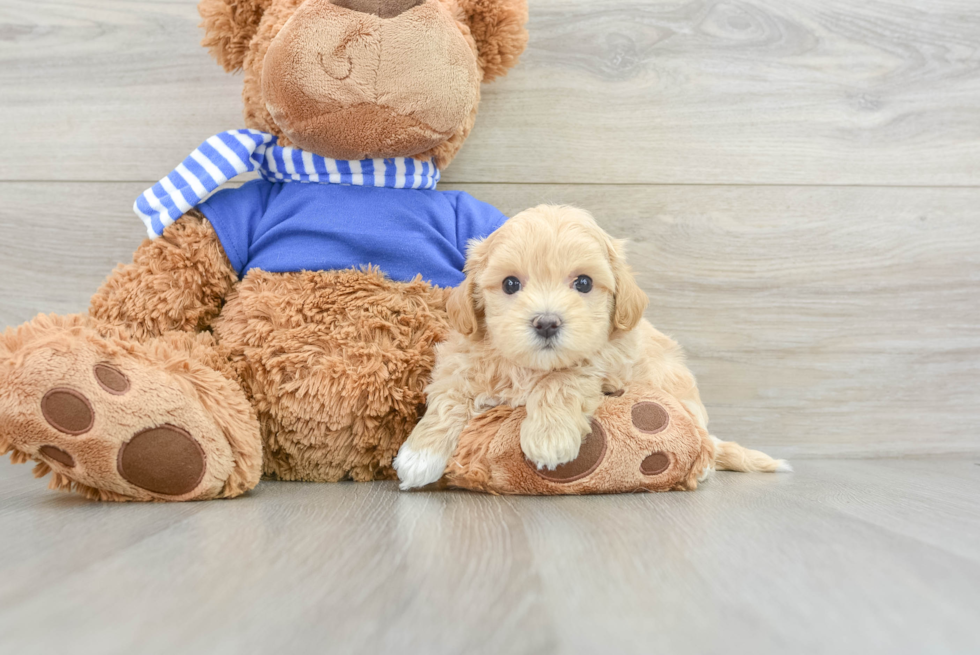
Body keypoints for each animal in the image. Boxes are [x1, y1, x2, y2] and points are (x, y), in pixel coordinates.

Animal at [394, 202, 784, 490]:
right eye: (509, 284)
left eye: (583, 283)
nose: (547, 322)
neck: (528, 367)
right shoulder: (460, 360)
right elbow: (448, 398)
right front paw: (420, 454)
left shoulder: (605, 361)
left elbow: (563, 378)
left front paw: (549, 437)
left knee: (702, 436)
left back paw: (702, 465)